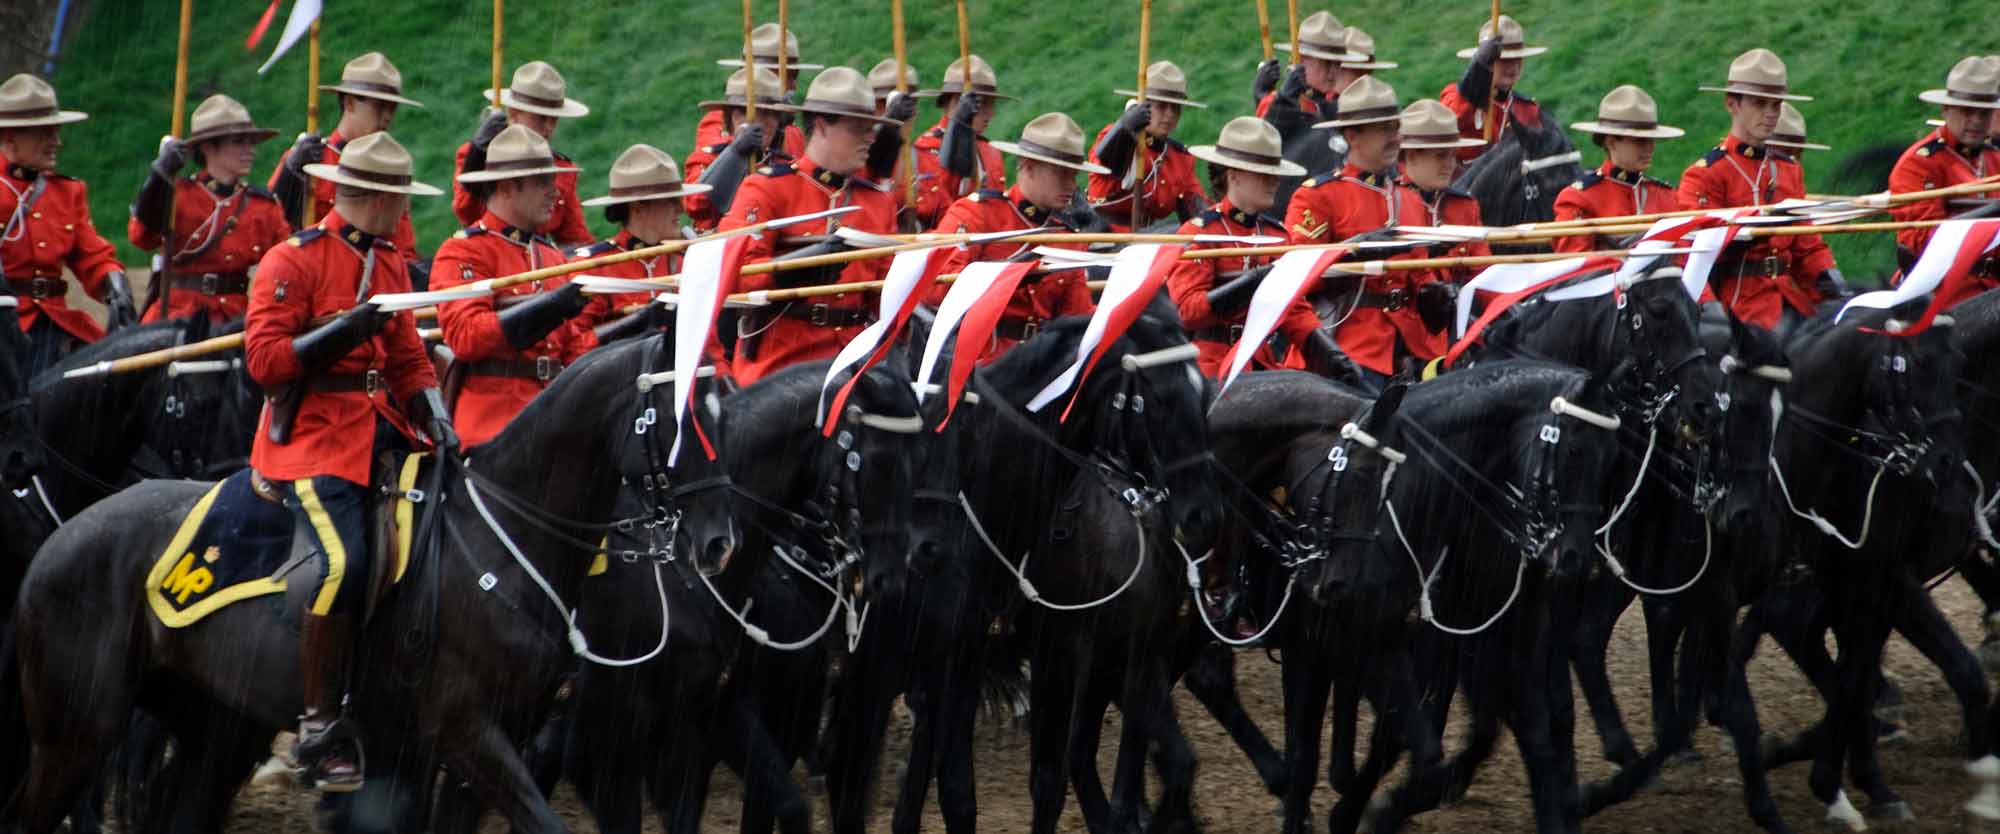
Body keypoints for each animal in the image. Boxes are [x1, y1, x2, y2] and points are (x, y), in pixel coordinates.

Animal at [1, 331, 744, 834]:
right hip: (76, 735)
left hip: (216, 733)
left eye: (724, 410)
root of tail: (57, 540)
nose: (719, 543)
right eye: (677, 419)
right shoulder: (467, 734)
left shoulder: (458, 745)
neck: (500, 537)